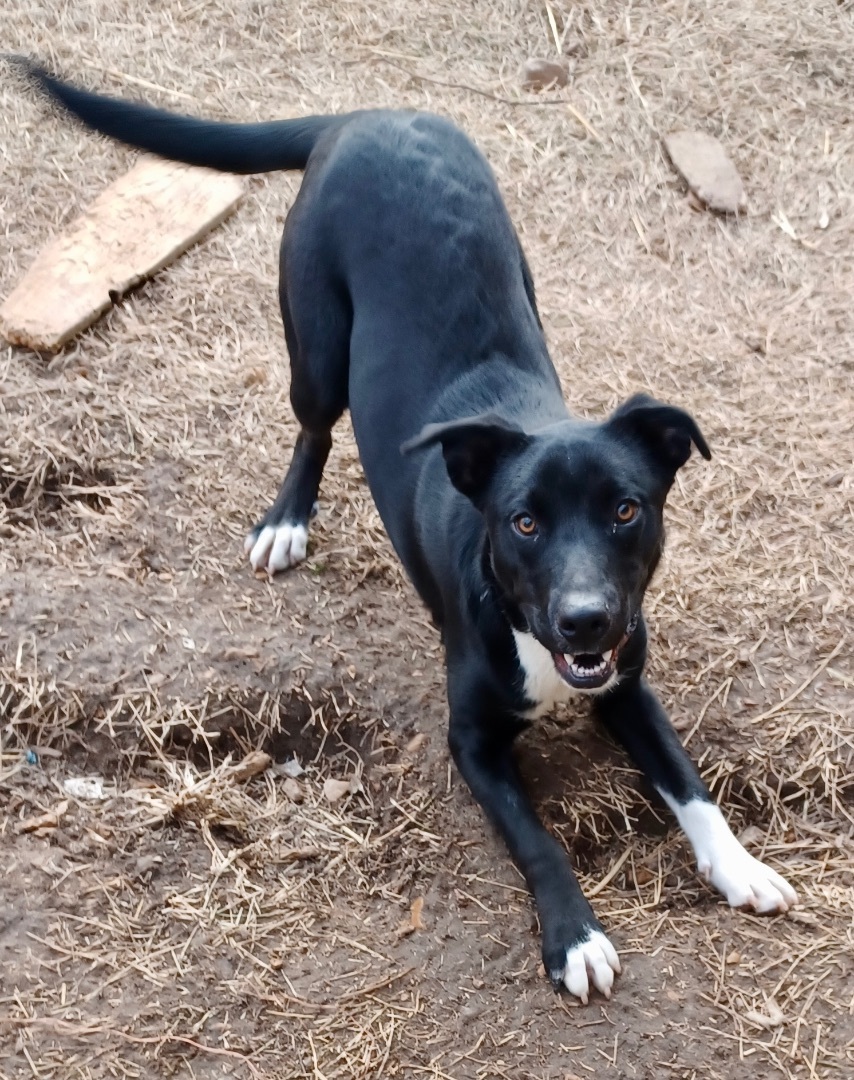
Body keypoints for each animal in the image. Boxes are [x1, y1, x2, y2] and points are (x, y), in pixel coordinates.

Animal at [16, 63, 798, 997]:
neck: (529, 631)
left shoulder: (627, 683)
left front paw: (739, 864)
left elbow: (688, 780)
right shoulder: (473, 743)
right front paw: (574, 936)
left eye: (625, 509)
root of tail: (368, 114)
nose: (585, 621)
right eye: (524, 521)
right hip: (316, 341)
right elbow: (539, 840)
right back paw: (286, 521)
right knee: (314, 427)